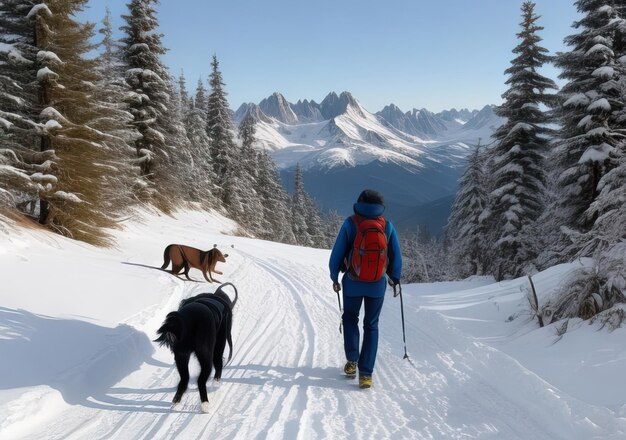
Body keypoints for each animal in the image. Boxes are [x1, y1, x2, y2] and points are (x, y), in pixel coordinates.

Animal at [154, 282, 236, 412]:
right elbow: (219, 365)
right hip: (206, 354)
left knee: (185, 379)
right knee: (201, 379)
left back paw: (177, 402)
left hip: (181, 356)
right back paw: (205, 404)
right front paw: (216, 383)